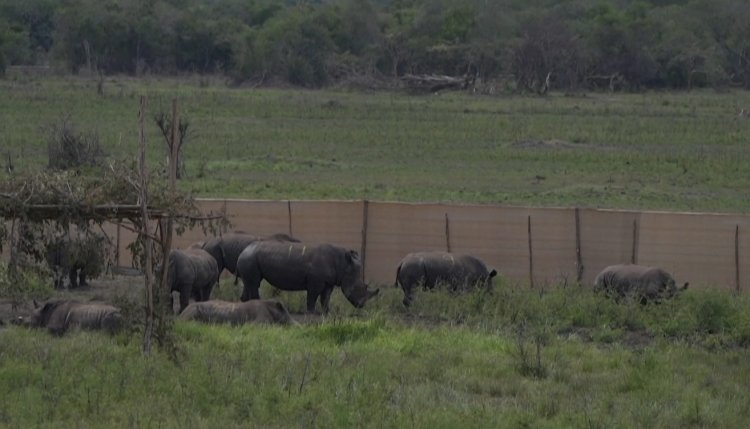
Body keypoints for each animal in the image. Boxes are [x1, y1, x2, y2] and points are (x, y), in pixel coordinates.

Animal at [236, 241, 380, 313]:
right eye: (357, 288)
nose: (361, 305)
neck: (343, 264)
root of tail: (242, 251)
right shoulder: (315, 282)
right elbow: (312, 298)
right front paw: (311, 313)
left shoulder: (329, 282)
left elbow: (325, 298)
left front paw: (327, 312)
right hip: (250, 259)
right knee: (254, 284)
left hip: (250, 259)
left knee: (250, 284)